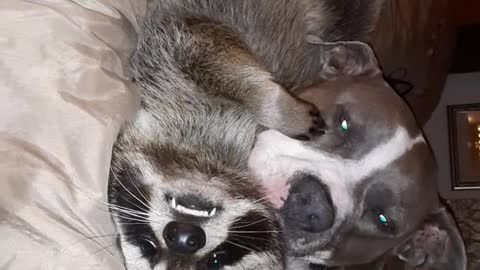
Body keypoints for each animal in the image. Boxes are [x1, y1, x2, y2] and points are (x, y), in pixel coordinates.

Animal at [107, 0, 380, 270]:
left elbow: (208, 49)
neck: (206, 165)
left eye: (216, 258)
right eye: (148, 246)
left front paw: (281, 109)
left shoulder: (168, 53)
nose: (184, 237)